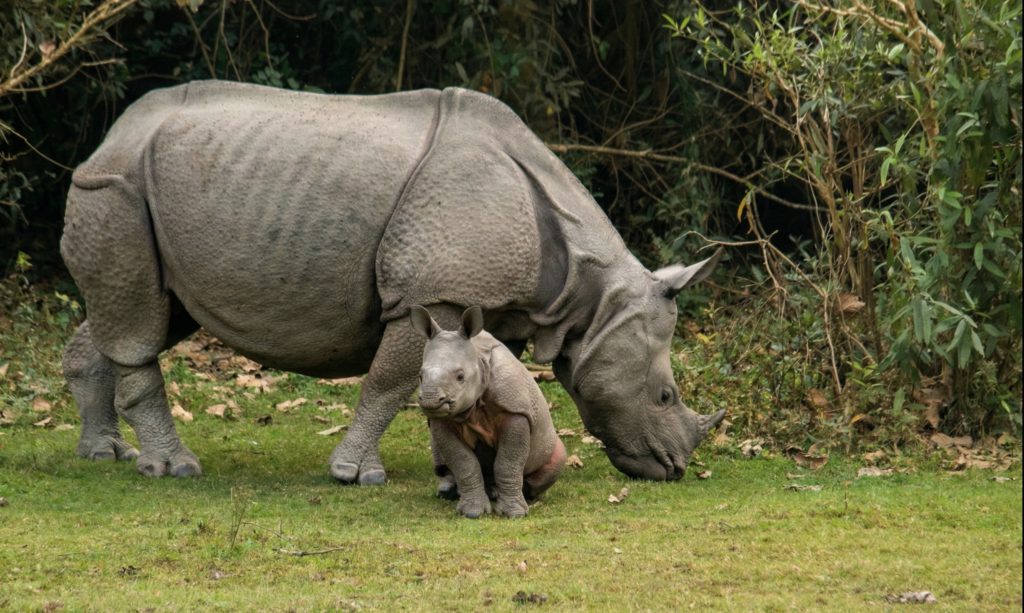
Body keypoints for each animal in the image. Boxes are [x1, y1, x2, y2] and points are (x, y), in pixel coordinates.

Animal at [60, 80, 725, 484]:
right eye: (665, 396)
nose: (674, 469)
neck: (588, 295)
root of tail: (109, 138)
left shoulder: (474, 297)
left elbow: (460, 377)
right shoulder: (432, 294)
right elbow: (389, 381)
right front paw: (356, 476)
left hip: (146, 191)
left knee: (141, 311)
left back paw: (103, 455)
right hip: (116, 186)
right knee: (139, 325)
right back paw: (174, 469)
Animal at [411, 305, 566, 518]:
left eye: (460, 377)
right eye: (419, 376)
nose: (430, 401)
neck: (478, 359)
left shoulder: (515, 410)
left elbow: (508, 463)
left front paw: (514, 513)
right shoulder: (442, 420)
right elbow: (463, 463)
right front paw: (472, 513)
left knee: (557, 457)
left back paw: (510, 493)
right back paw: (450, 491)